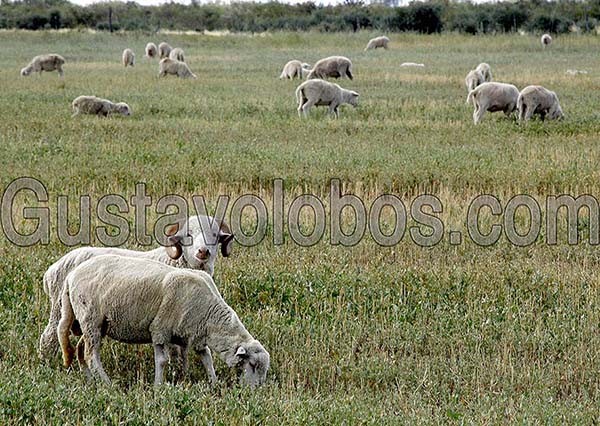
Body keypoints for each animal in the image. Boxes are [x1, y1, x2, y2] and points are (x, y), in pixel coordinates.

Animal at [38, 215, 235, 363]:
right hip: (59, 308)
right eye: (188, 234)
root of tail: (52, 269)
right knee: (48, 337)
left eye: (215, 235)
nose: (203, 252)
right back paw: (47, 364)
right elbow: (173, 350)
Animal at [58, 255, 270, 387]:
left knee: (81, 350)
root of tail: (70, 276)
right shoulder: (160, 330)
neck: (210, 316)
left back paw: (90, 380)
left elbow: (206, 359)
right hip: (91, 318)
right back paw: (107, 384)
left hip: (94, 323)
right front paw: (158, 386)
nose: (255, 391)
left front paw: (212, 382)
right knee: (91, 355)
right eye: (252, 365)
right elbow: (162, 360)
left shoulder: (194, 335)